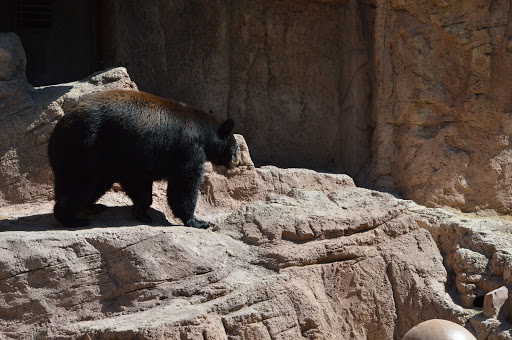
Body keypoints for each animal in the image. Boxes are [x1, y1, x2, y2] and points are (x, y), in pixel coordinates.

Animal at [48, 89, 240, 228]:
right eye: (236, 147)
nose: (238, 162)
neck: (203, 132)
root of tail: (60, 125)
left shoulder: (138, 158)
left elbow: (139, 183)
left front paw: (141, 212)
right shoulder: (187, 150)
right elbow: (183, 184)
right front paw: (197, 221)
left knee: (94, 184)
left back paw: (93, 206)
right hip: (84, 148)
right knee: (79, 184)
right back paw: (71, 219)